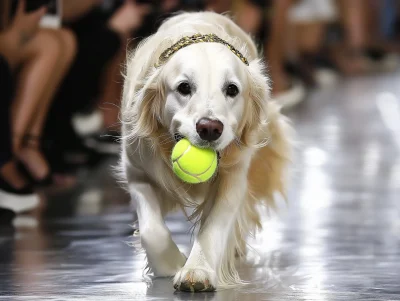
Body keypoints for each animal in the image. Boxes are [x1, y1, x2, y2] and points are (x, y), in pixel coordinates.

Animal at [120, 11, 292, 290]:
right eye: (184, 87)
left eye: (232, 89)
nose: (210, 128)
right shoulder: (136, 171)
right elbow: (152, 231)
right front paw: (170, 263)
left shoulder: (234, 176)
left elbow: (214, 226)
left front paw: (197, 270)